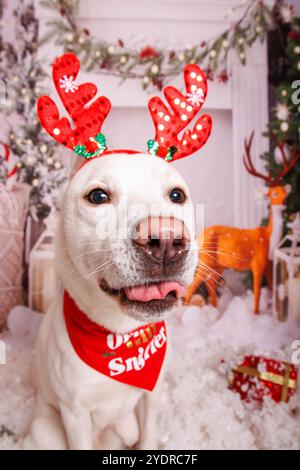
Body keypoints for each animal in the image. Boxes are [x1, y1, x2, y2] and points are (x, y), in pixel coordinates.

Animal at [24, 152, 198, 450]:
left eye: (177, 195)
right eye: (97, 196)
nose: (166, 238)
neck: (121, 335)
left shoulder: (152, 397)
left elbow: (149, 436)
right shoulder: (75, 416)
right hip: (46, 429)